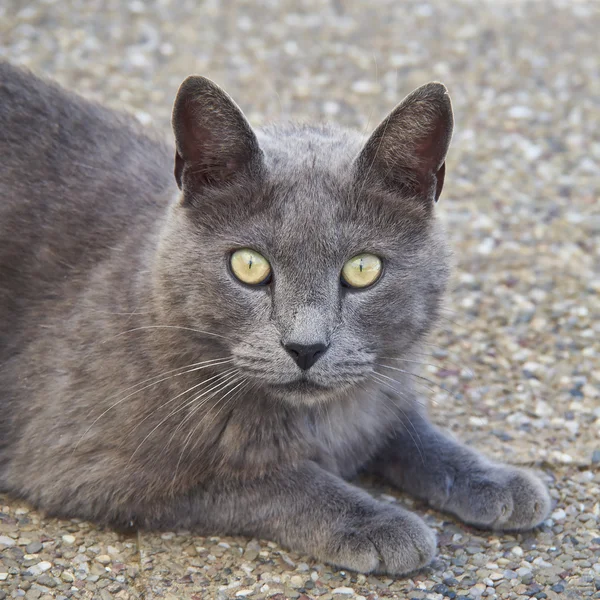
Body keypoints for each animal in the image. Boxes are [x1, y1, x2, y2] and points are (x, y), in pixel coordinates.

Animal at [1, 62, 552, 576]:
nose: (306, 347)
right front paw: (378, 522)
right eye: (248, 265)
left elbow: (407, 427)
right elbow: (269, 477)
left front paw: (494, 479)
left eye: (363, 269)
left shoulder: (380, 389)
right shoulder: (89, 464)